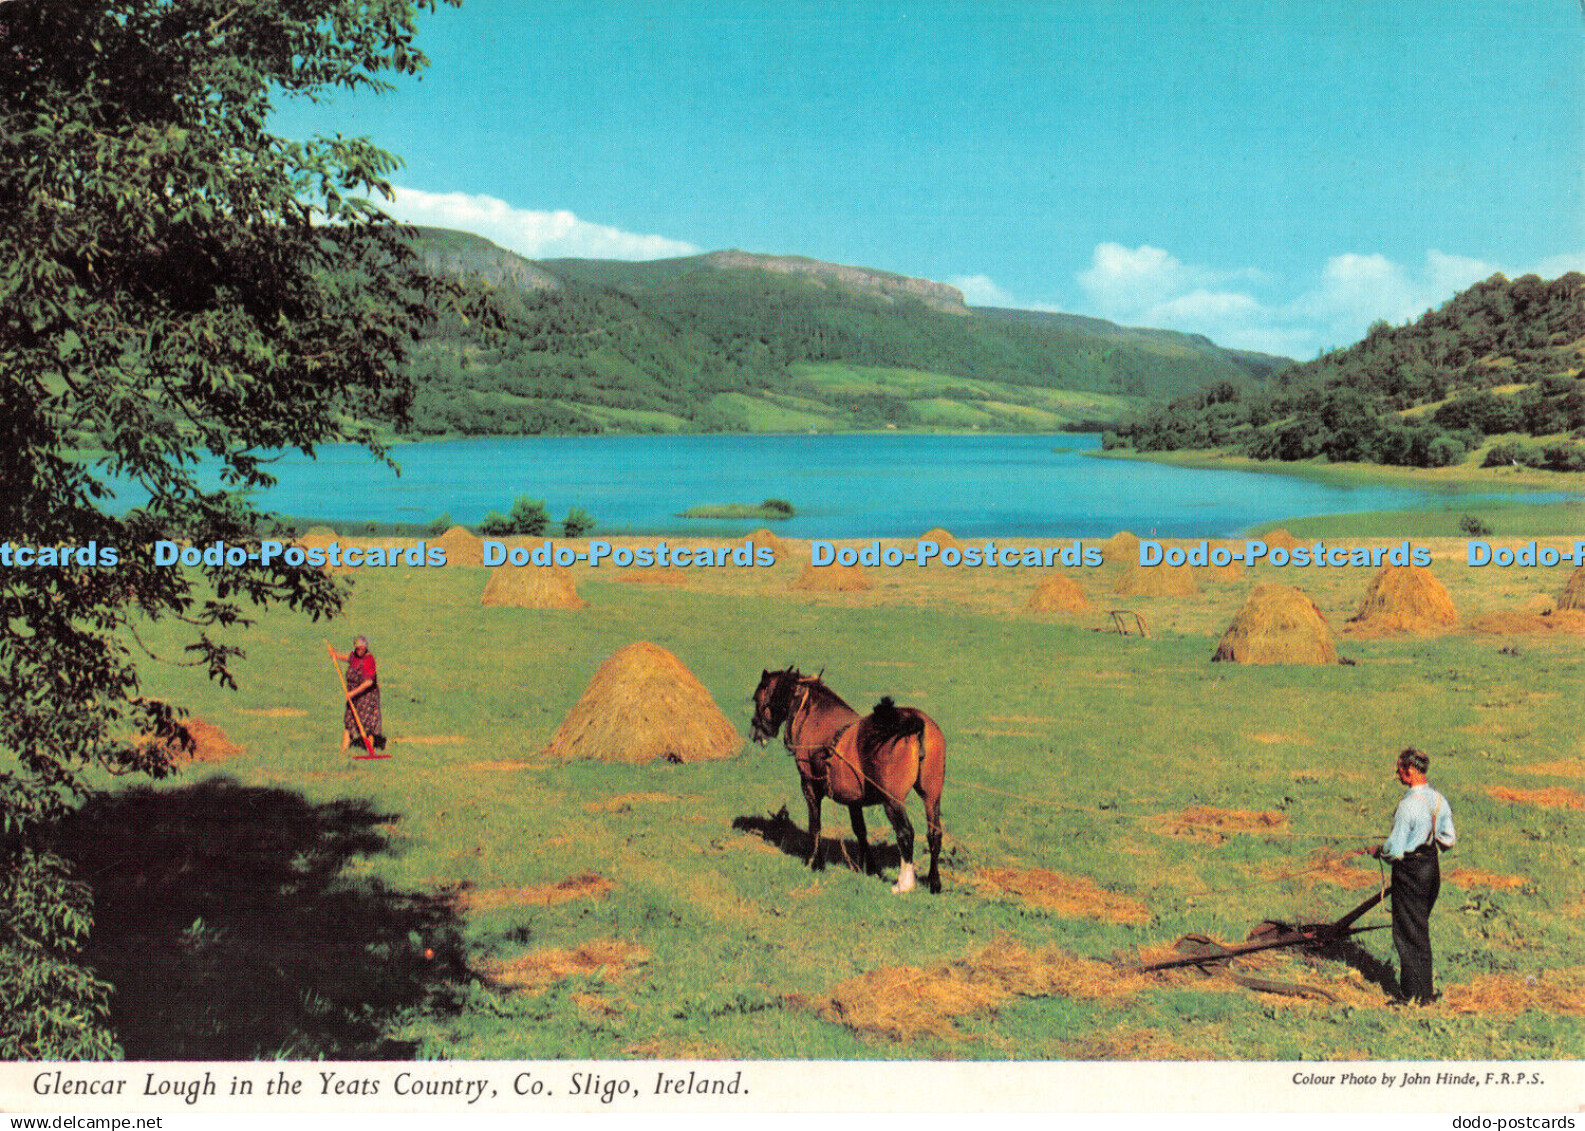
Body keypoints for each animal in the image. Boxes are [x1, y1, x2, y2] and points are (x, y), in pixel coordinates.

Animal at [748, 665, 944, 893]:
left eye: (756, 698)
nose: (755, 732)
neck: (816, 719)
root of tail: (916, 723)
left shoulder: (810, 787)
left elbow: (815, 826)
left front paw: (815, 862)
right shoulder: (853, 800)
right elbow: (860, 831)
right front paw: (869, 867)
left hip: (892, 801)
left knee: (906, 833)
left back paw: (904, 883)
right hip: (931, 797)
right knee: (934, 834)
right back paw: (934, 882)